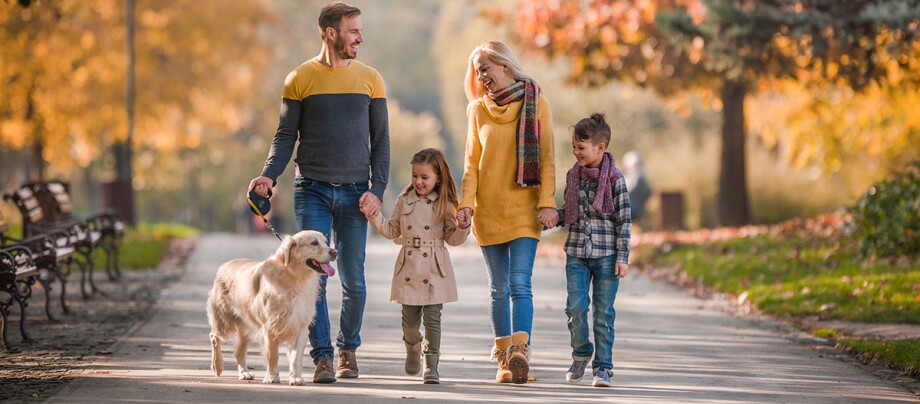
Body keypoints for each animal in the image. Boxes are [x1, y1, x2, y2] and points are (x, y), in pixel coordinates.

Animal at [207, 230, 336, 386]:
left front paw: (296, 377)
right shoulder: (269, 326)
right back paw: (217, 365)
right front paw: (272, 376)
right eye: (314, 243)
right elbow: (273, 355)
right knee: (214, 337)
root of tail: (225, 264)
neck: (294, 278)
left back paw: (244, 373)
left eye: (325, 242)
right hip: (224, 321)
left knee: (239, 350)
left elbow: (295, 357)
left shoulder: (300, 327)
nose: (335, 252)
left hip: (246, 328)